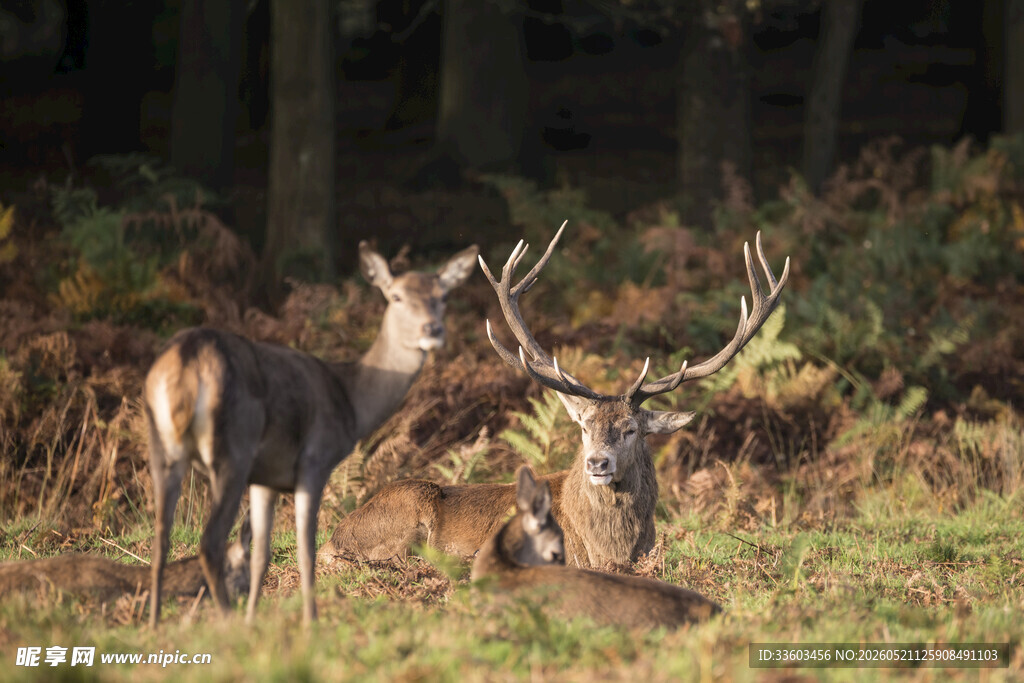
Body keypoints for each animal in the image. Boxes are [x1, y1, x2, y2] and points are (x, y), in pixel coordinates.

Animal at [144, 241, 478, 626]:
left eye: (443, 295)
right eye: (395, 296)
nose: (432, 329)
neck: (350, 400)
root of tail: (187, 359)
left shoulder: (266, 477)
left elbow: (261, 554)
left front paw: (254, 619)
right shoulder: (315, 460)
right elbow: (307, 550)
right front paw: (310, 622)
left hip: (162, 445)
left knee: (161, 536)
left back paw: (154, 623)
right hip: (233, 449)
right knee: (209, 541)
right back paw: (226, 621)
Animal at [319, 222, 788, 568]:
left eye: (631, 429)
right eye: (584, 427)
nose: (597, 463)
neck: (609, 550)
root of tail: (334, 534)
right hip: (405, 513)